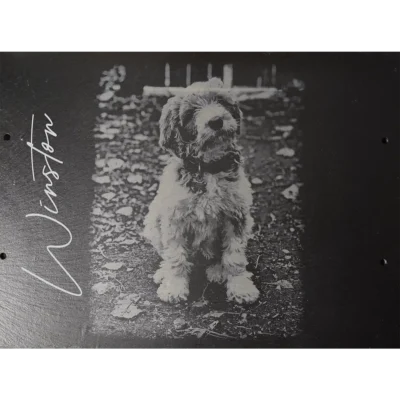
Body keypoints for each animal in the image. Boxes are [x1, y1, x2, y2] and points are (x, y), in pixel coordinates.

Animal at [143, 76, 260, 304]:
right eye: (190, 113)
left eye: (220, 101)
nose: (216, 121)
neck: (208, 168)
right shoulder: (174, 219)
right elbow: (176, 256)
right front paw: (174, 286)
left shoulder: (236, 215)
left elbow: (234, 257)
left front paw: (240, 287)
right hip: (153, 221)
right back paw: (163, 273)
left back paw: (217, 270)